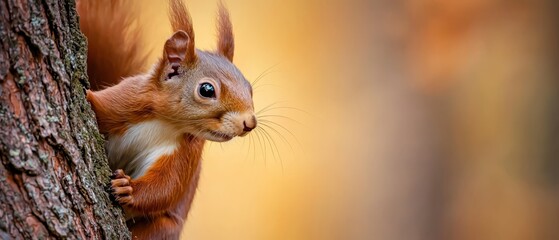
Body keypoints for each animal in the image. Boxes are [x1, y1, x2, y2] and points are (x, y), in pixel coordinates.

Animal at [76, 0, 256, 238]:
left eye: (250, 88)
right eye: (207, 90)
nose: (250, 123)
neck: (167, 122)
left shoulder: (187, 152)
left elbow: (166, 185)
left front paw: (128, 189)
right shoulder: (122, 101)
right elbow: (97, 105)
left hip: (163, 229)